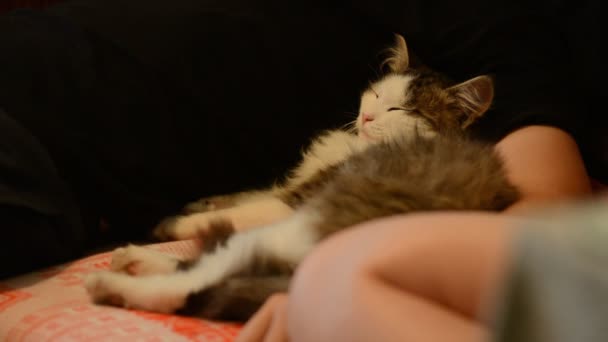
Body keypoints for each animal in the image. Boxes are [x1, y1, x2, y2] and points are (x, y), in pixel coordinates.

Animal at [84, 34, 516, 320]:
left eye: (402, 110)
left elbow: (237, 210)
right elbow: (240, 196)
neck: (354, 145)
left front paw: (175, 221)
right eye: (377, 95)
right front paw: (200, 204)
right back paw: (131, 262)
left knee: (204, 275)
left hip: (310, 221)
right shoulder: (287, 187)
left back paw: (118, 276)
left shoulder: (292, 200)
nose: (367, 116)